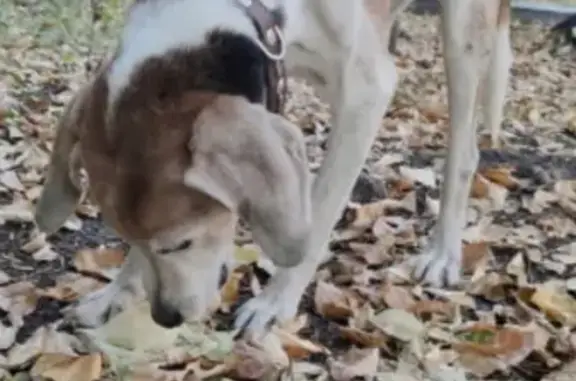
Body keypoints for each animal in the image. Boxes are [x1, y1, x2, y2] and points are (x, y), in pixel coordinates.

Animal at [35, 0, 512, 334]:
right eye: (124, 236)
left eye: (183, 244)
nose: (165, 318)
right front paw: (116, 293)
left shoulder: (366, 94)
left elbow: (318, 215)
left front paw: (275, 301)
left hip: (462, 36)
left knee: (464, 150)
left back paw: (442, 253)